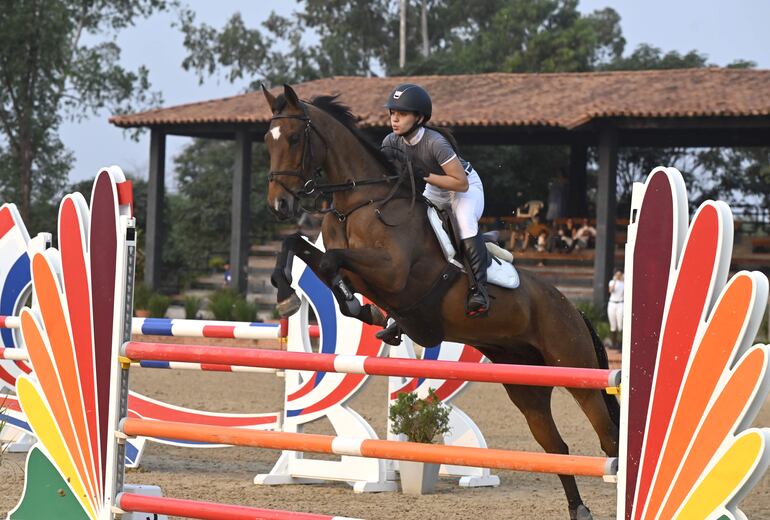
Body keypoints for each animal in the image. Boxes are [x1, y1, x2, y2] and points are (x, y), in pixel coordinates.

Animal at [260, 85, 616, 520]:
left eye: (295, 139)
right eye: (268, 140)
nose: (280, 205)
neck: (360, 201)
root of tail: (573, 308)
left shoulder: (392, 272)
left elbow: (330, 262)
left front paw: (357, 308)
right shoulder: (360, 268)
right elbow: (300, 248)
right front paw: (290, 296)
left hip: (579, 373)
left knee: (608, 440)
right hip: (526, 386)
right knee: (556, 448)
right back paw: (578, 509)